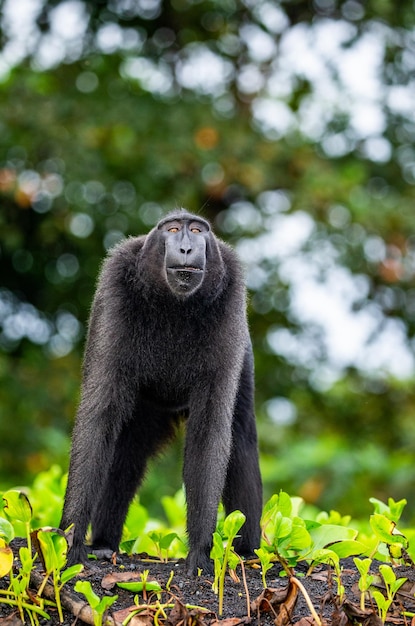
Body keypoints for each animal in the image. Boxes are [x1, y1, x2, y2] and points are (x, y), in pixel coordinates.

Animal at [60, 208, 264, 572]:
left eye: (196, 230)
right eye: (172, 230)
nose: (185, 247)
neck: (173, 304)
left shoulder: (231, 292)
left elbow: (211, 428)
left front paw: (200, 551)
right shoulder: (116, 281)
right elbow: (99, 417)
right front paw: (71, 541)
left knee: (239, 436)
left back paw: (247, 552)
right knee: (126, 450)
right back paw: (103, 544)